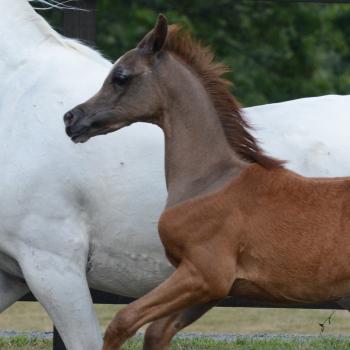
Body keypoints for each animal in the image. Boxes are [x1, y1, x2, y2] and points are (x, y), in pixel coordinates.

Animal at [0, 1, 350, 348]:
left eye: (120, 76)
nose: (72, 118)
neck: (211, 178)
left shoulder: (55, 262)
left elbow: (116, 324)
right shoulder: (212, 284)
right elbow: (154, 331)